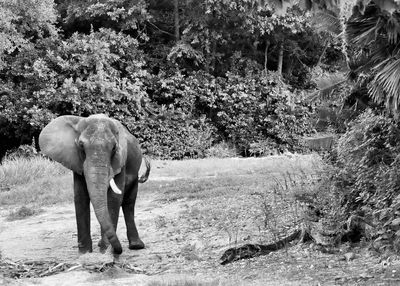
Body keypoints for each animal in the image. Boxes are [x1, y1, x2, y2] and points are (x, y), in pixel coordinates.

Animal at [39, 114, 150, 255]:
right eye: (81, 146)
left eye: (114, 148)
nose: (117, 250)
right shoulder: (76, 160)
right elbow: (80, 197)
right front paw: (85, 253)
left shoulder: (121, 161)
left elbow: (113, 198)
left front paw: (106, 252)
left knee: (129, 203)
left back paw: (136, 246)